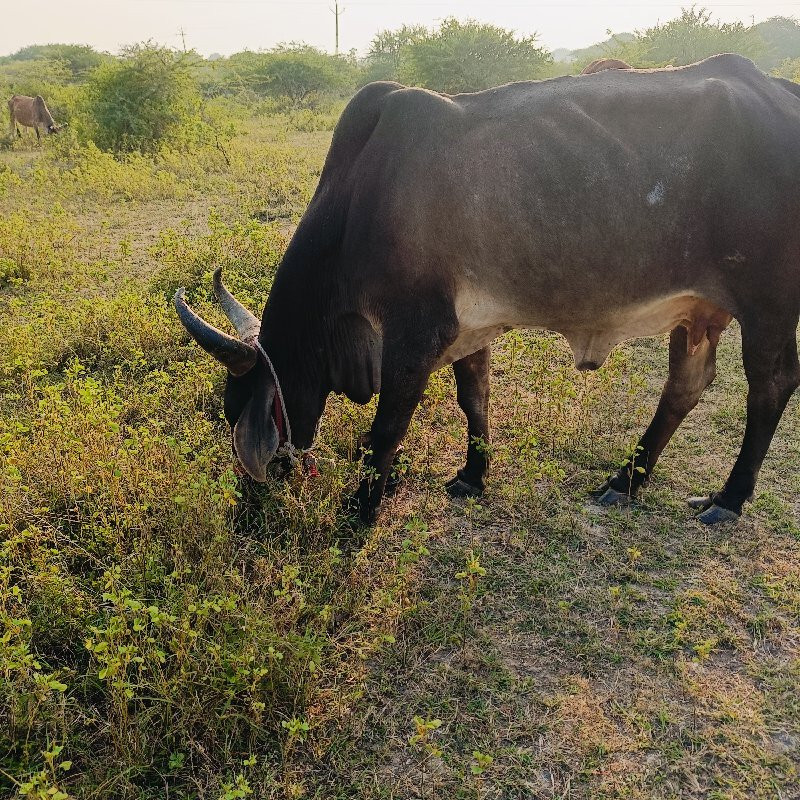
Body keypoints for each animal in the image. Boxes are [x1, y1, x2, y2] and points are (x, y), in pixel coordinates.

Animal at [175, 57, 800, 532]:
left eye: (237, 412)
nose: (248, 510)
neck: (357, 205)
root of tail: (780, 91)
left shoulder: (414, 335)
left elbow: (387, 427)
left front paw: (361, 509)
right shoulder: (469, 328)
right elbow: (473, 398)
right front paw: (473, 476)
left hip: (766, 305)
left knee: (770, 386)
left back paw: (727, 499)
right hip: (700, 311)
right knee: (685, 386)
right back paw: (624, 482)